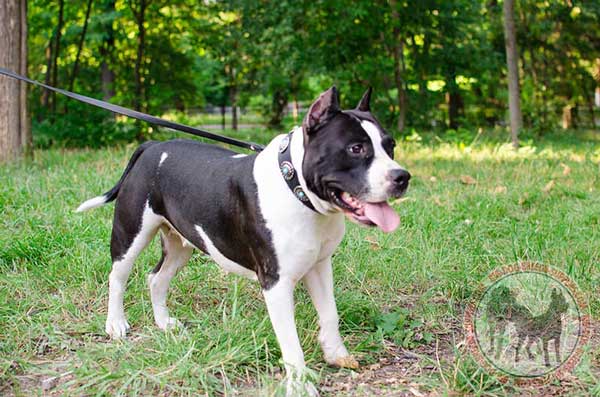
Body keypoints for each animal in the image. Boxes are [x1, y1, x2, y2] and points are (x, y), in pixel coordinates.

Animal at [77, 86, 410, 392]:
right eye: (356, 149)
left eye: (391, 145)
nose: (402, 177)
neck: (296, 188)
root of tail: (152, 146)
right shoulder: (276, 283)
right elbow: (291, 342)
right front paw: (300, 384)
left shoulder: (319, 265)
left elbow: (330, 313)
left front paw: (336, 354)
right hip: (131, 232)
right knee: (118, 276)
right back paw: (115, 324)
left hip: (181, 242)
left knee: (156, 278)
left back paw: (164, 322)